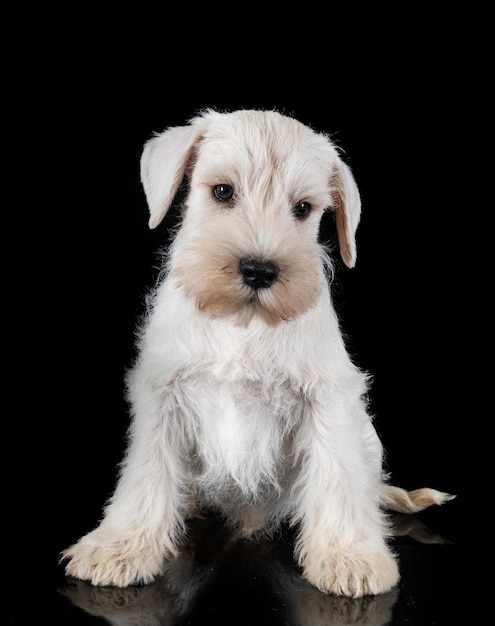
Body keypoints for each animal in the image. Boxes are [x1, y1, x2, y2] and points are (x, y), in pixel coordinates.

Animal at [60, 107, 456, 596]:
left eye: (303, 208)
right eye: (222, 191)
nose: (259, 270)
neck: (243, 324)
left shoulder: (328, 400)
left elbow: (338, 478)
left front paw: (350, 557)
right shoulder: (162, 397)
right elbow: (145, 476)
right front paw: (118, 547)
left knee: (363, 486)